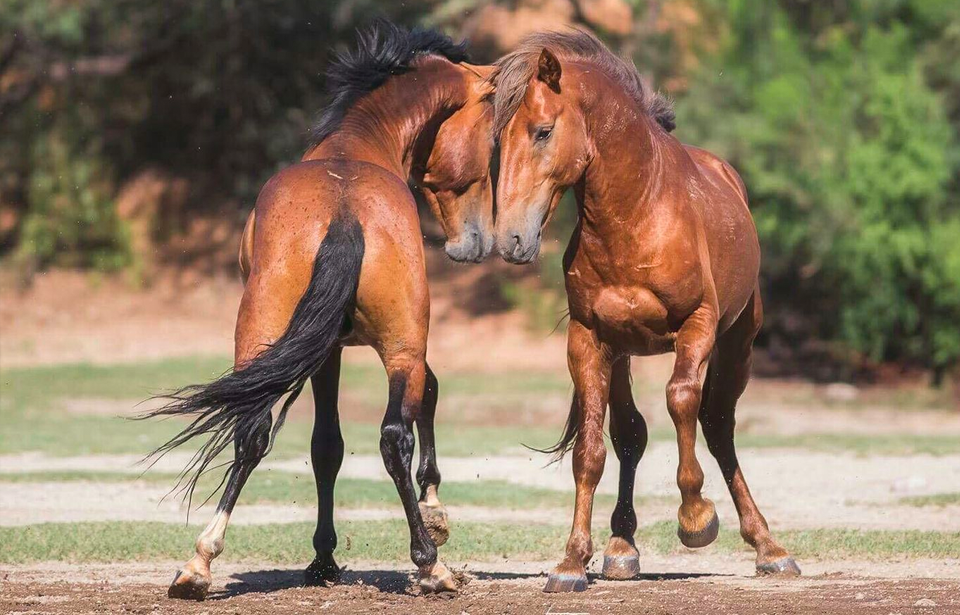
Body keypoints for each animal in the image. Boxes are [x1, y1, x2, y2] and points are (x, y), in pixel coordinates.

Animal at [144, 22, 495, 600]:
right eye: (492, 133)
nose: (475, 237)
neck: (356, 143)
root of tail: (345, 214)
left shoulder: (328, 350)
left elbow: (325, 446)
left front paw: (325, 558)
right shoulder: (350, 350)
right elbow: (373, 424)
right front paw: (430, 517)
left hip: (268, 339)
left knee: (254, 432)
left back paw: (199, 563)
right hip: (399, 347)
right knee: (393, 435)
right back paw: (429, 563)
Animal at [490, 30, 800, 592]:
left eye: (543, 131)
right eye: (497, 142)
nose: (511, 240)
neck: (635, 215)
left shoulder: (697, 326)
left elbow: (681, 400)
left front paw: (696, 518)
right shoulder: (589, 340)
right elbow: (591, 452)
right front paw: (572, 561)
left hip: (737, 344)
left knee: (717, 424)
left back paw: (769, 547)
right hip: (622, 353)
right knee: (631, 434)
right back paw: (621, 547)